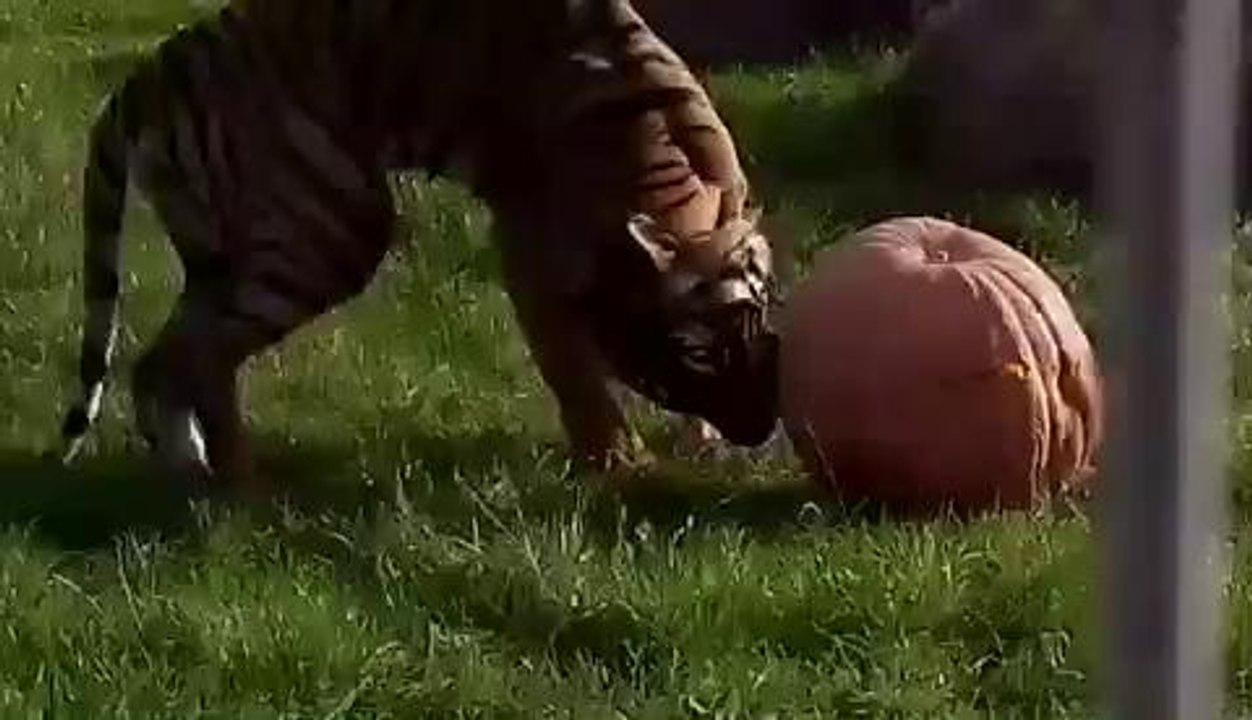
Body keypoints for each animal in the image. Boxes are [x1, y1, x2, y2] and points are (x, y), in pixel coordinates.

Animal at [55, 0, 783, 497]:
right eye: (696, 350)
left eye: (763, 326)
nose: (762, 425)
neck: (669, 182)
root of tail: (148, 76)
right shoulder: (530, 254)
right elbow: (575, 373)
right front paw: (621, 467)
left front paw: (699, 446)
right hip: (328, 234)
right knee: (196, 357)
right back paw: (241, 485)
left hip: (225, 254)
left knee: (164, 359)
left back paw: (187, 470)